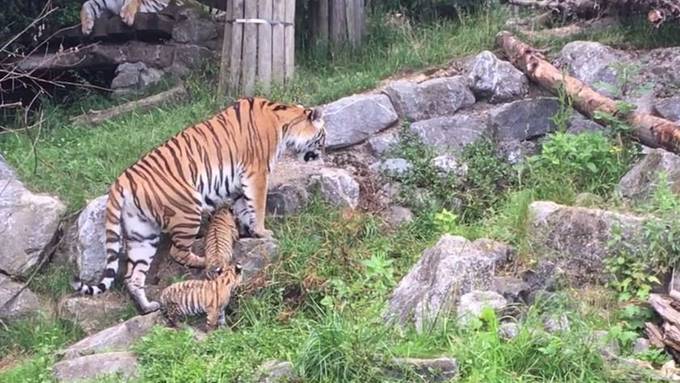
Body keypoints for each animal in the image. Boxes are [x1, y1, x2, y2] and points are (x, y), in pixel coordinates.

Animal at [74, 97, 326, 314]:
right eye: (322, 135)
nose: (320, 154)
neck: (284, 122)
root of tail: (121, 181)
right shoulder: (257, 173)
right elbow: (258, 205)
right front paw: (263, 232)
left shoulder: (240, 183)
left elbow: (244, 208)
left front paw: (249, 231)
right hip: (187, 211)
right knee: (177, 251)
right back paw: (205, 261)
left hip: (142, 234)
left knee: (133, 277)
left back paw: (148, 307)